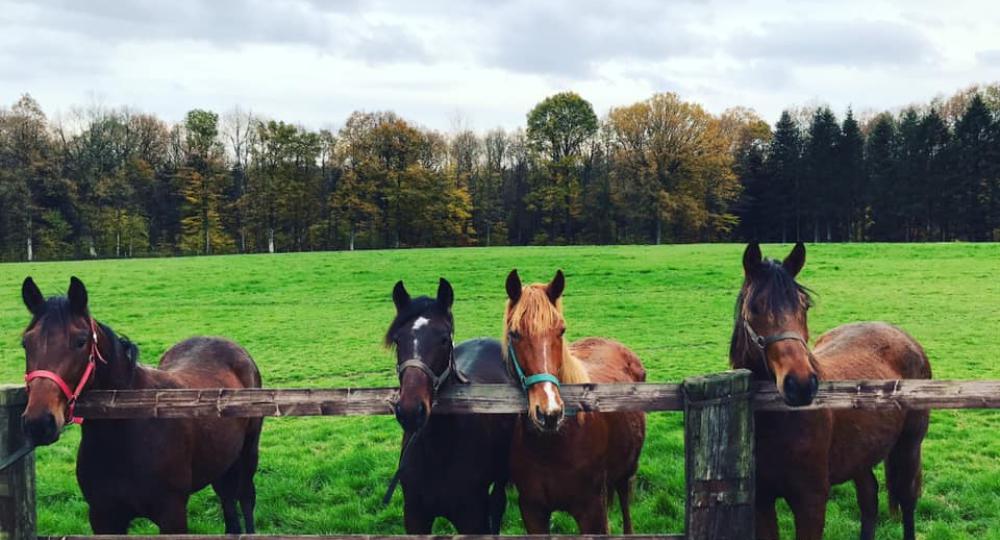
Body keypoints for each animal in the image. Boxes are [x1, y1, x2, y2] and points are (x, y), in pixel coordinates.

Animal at [21, 278, 264, 536]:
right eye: (26, 343)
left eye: (80, 341)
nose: (39, 422)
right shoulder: (103, 517)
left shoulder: (172, 516)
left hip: (248, 454)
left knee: (246, 498)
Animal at [504, 268, 644, 532]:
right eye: (514, 333)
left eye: (561, 330)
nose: (549, 412)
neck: (553, 444)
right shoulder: (532, 511)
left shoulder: (592, 513)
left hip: (626, 473)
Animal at [732, 245, 932, 540]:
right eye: (755, 307)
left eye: (804, 305)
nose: (801, 385)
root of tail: (904, 336)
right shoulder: (762, 501)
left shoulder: (811, 501)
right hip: (861, 455)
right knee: (869, 497)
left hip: (908, 447)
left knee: (907, 501)